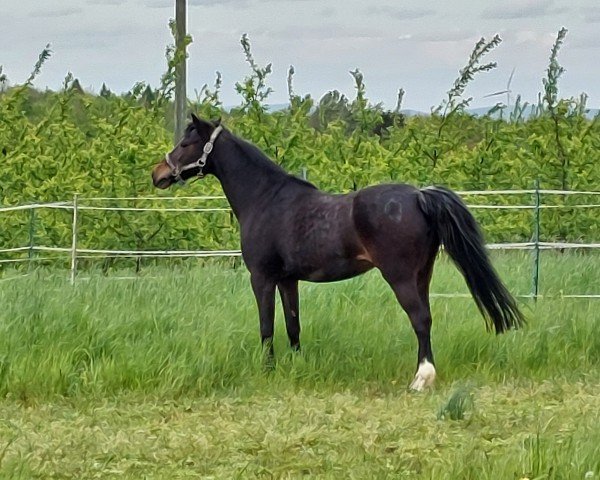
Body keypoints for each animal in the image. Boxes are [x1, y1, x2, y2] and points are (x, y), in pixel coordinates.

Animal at [151, 115, 524, 390]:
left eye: (186, 143)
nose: (158, 174)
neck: (266, 198)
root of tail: (419, 195)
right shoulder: (288, 280)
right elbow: (293, 324)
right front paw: (296, 365)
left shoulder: (262, 278)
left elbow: (266, 326)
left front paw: (267, 370)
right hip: (423, 275)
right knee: (427, 318)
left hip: (401, 277)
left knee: (420, 319)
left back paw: (421, 379)